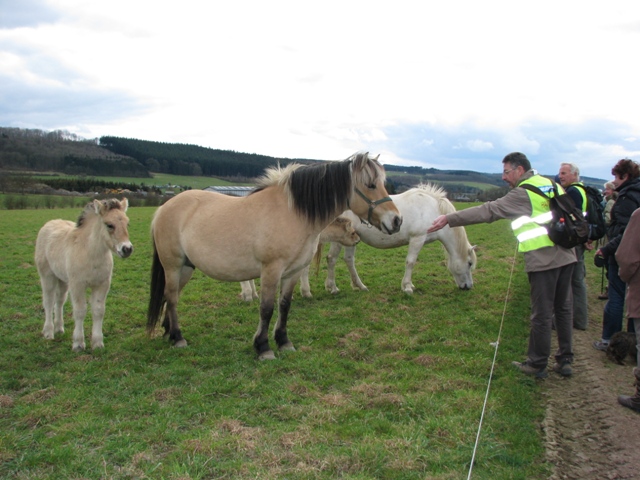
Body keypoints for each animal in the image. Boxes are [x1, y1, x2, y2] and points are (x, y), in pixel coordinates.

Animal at [35, 197, 134, 350]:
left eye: (127, 223)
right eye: (109, 225)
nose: (127, 249)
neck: (90, 253)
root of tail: (49, 224)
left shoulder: (102, 284)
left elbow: (98, 310)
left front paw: (98, 343)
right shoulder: (77, 285)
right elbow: (80, 311)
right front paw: (78, 343)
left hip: (63, 280)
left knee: (59, 300)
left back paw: (59, 328)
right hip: (47, 276)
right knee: (49, 301)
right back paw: (48, 332)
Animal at [148, 152, 402, 358]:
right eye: (370, 184)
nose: (396, 220)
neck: (292, 213)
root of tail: (163, 208)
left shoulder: (293, 272)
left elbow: (284, 305)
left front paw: (283, 342)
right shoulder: (271, 270)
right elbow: (267, 308)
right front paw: (263, 347)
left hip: (186, 268)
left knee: (171, 297)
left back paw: (168, 332)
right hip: (172, 266)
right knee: (172, 297)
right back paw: (178, 337)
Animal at [324, 184, 476, 294]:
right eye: (469, 263)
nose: (468, 286)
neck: (433, 211)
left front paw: (409, 285)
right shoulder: (417, 239)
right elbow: (410, 262)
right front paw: (407, 287)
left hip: (351, 240)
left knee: (349, 260)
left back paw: (360, 286)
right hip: (339, 239)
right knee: (331, 259)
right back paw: (333, 287)